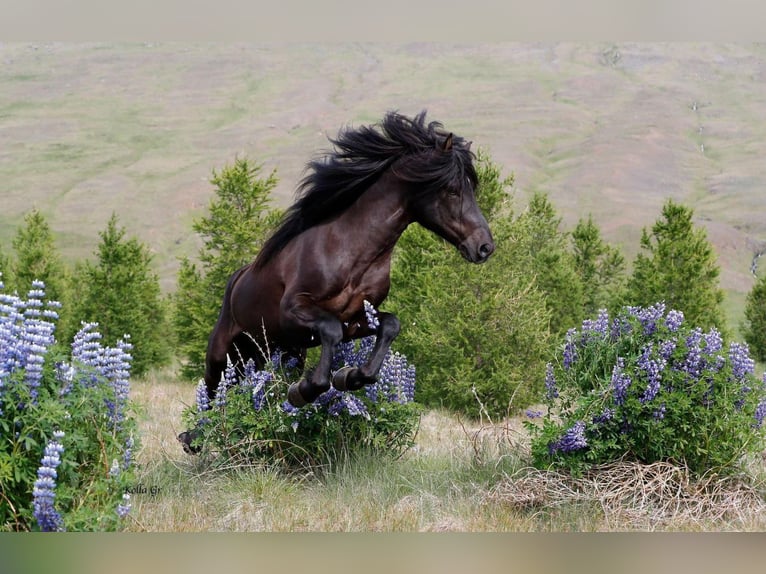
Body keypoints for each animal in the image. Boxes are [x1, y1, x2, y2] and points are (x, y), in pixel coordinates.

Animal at [178, 110, 494, 452]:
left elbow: (389, 325)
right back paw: (193, 437)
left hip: (276, 353)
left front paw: (350, 376)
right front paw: (303, 391)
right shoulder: (295, 311)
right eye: (452, 189)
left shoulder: (354, 319)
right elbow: (327, 338)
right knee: (212, 392)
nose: (485, 247)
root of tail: (236, 280)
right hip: (222, 353)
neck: (350, 250)